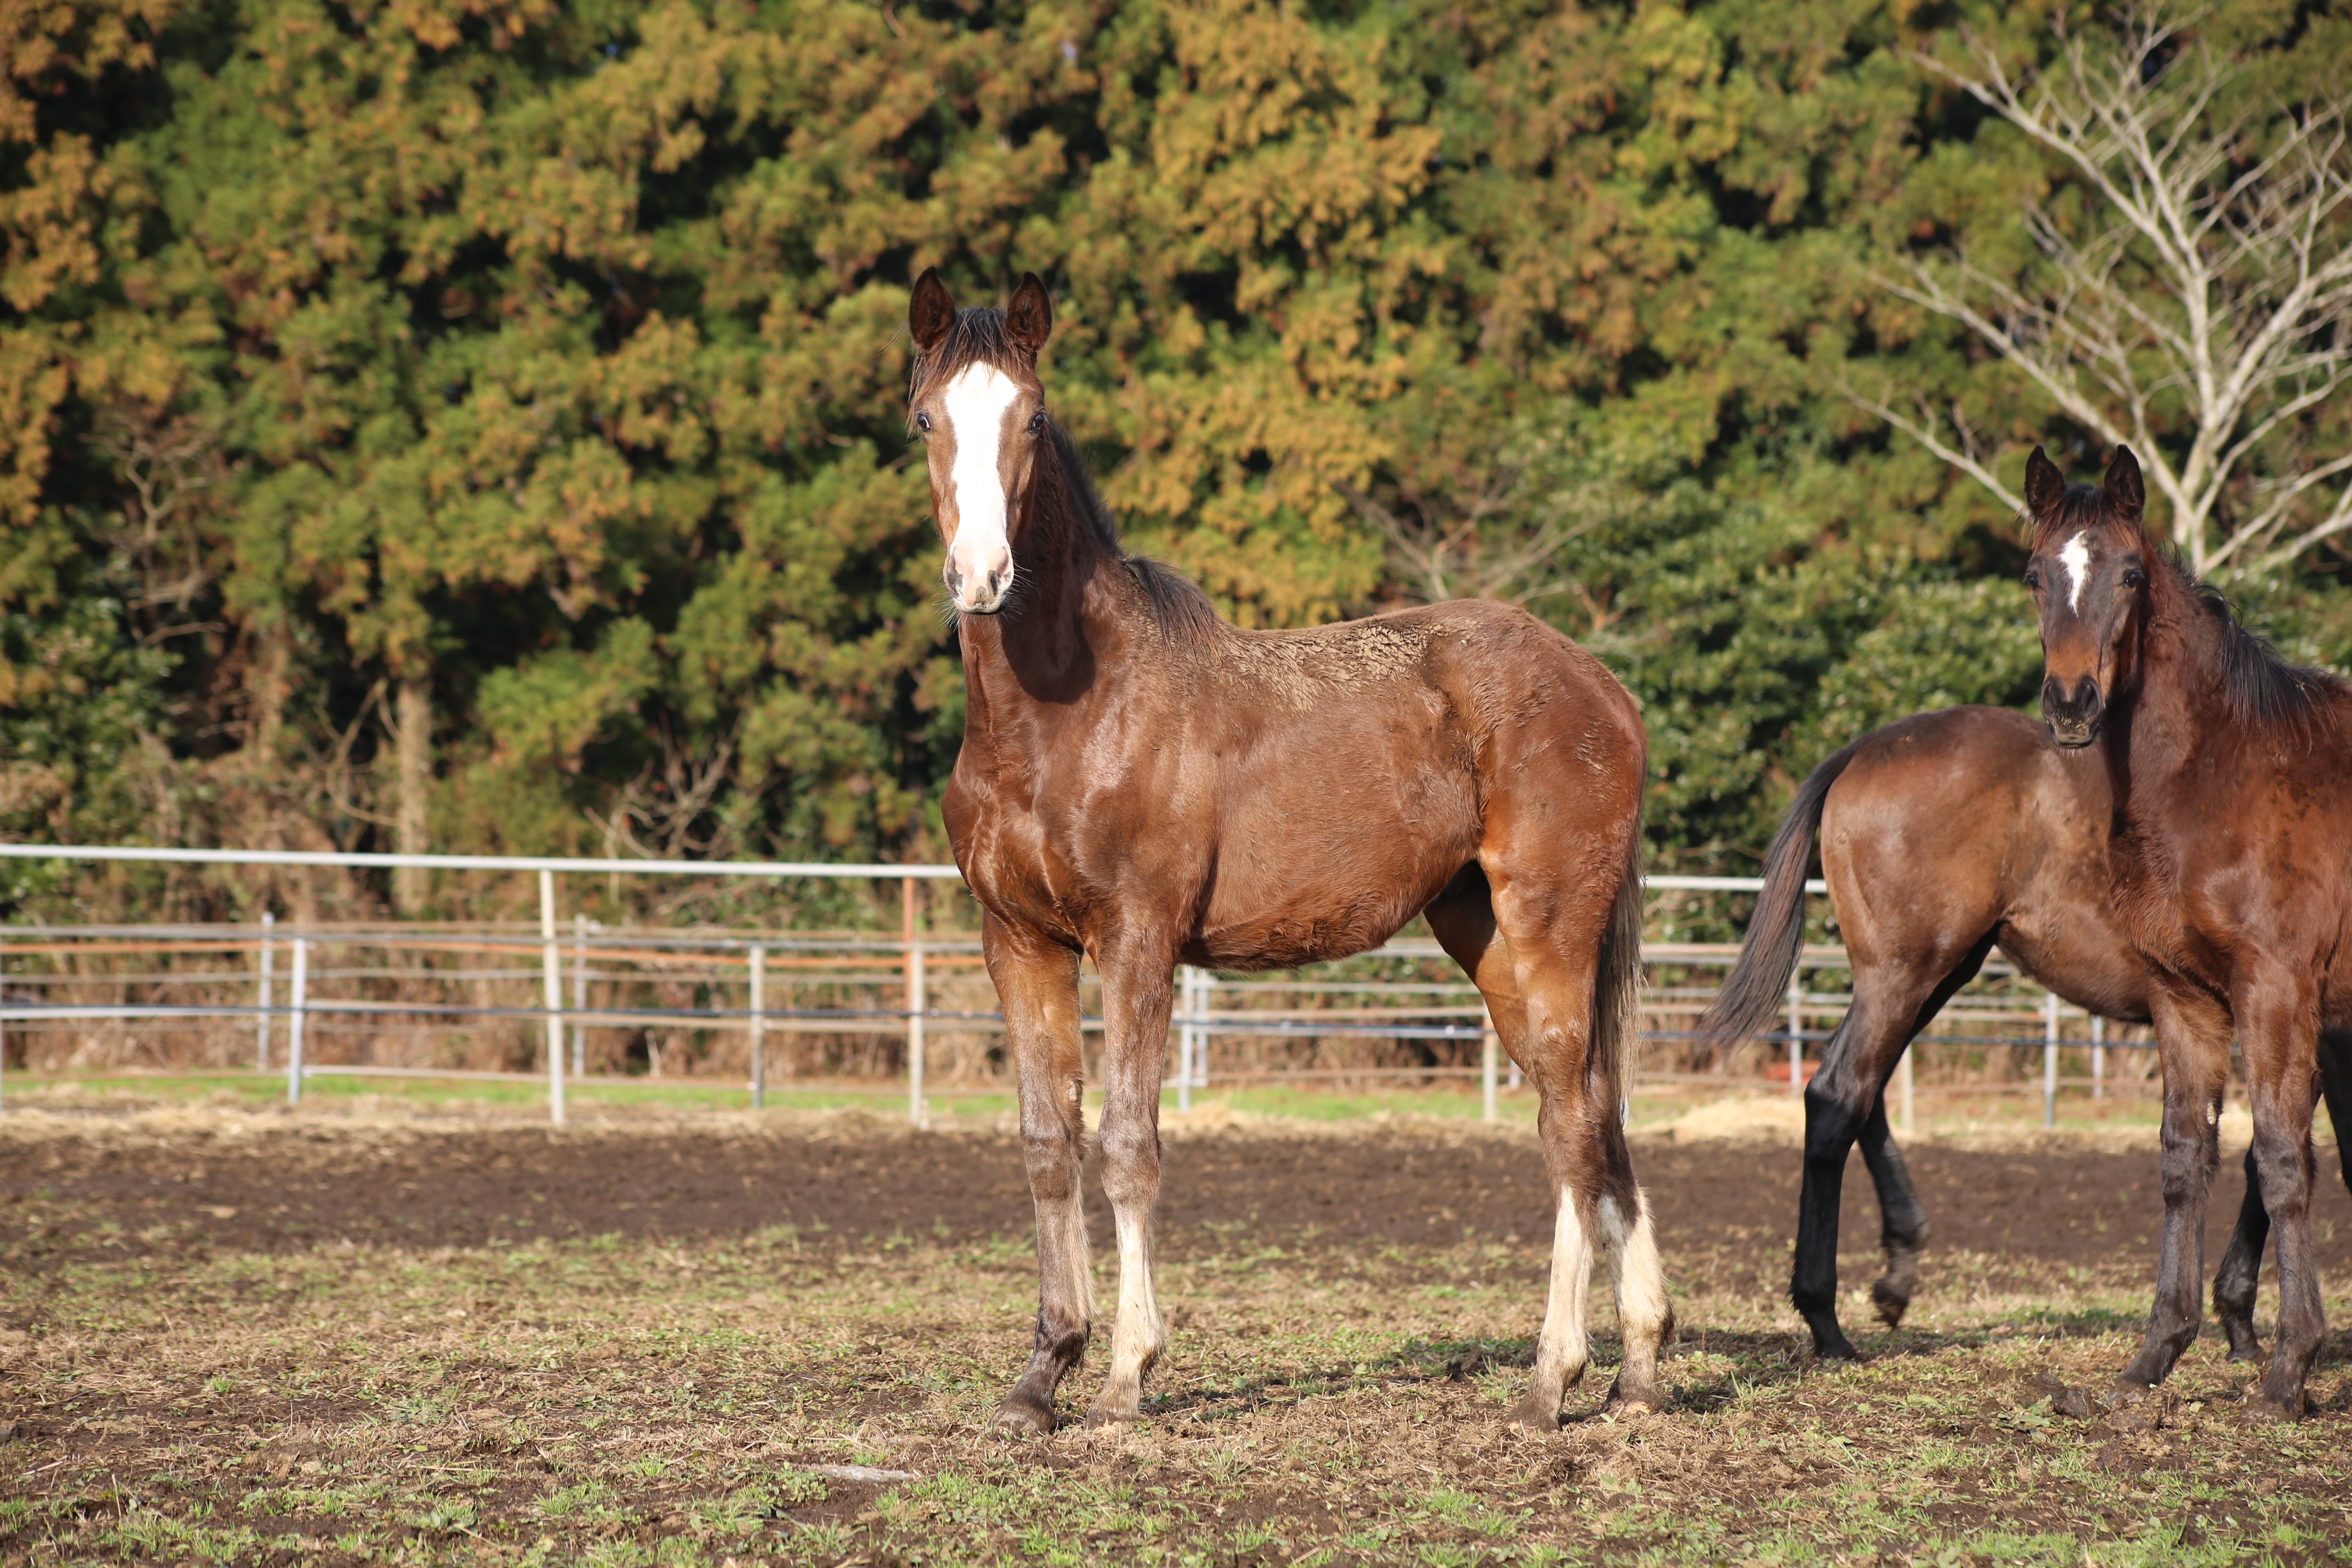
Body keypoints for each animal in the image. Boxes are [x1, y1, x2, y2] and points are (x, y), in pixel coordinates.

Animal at [908, 272, 1665, 1439]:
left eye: (1030, 419)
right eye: (924, 420)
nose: (982, 576)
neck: (1066, 715)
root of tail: (1604, 688)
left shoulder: (1136, 941)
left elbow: (1127, 1146)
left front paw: (1125, 1374)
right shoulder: (1018, 943)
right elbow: (1047, 1144)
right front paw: (1042, 1374)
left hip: (1549, 931)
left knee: (1574, 1131)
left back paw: (1553, 1378)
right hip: (1484, 935)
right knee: (1588, 1118)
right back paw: (1635, 1368)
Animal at [1712, 710, 2352, 1363]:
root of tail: (1865, 748)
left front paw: (2240, 1320)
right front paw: (2243, 1320)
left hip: (1937, 974)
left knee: (1861, 1092)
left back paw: (1896, 1271)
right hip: (1905, 974)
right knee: (1839, 1096)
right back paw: (1827, 1320)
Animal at [2022, 444, 2352, 1420]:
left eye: (2130, 575)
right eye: (2035, 574)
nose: (2071, 704)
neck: (2223, 772)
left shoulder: (2276, 992)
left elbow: (2281, 1160)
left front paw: (2289, 1370)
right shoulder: (2185, 998)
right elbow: (2184, 1158)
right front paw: (2155, 1354)